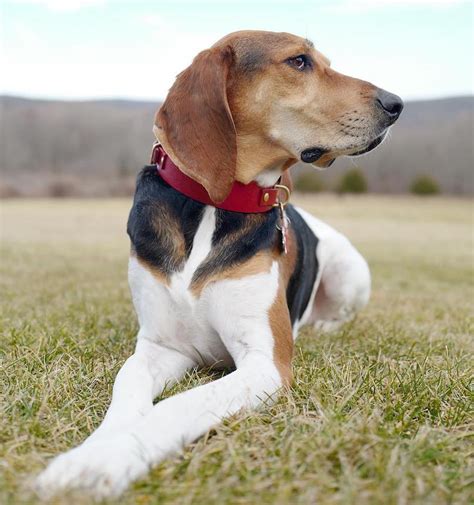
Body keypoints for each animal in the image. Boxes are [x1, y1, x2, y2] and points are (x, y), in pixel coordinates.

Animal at [35, 29, 402, 498]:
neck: (217, 203)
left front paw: (103, 462)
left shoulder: (265, 364)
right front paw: (94, 447)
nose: (396, 104)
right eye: (299, 61)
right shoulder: (161, 346)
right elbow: (128, 389)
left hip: (350, 272)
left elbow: (175, 407)